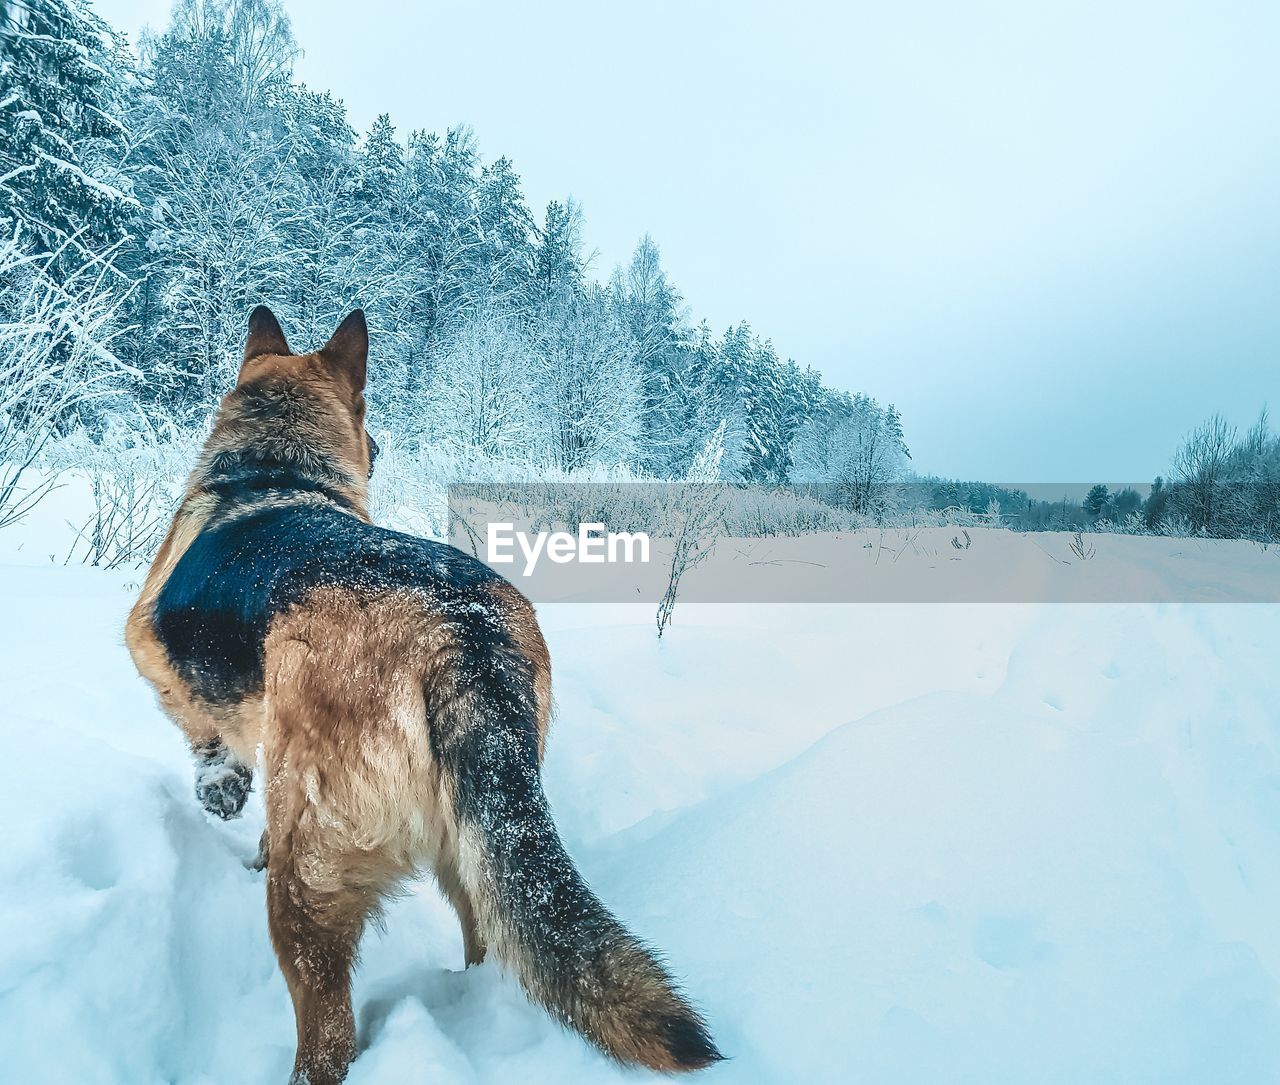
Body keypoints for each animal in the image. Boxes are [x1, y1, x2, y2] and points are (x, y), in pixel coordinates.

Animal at [127, 307, 721, 1085]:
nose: (380, 446)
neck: (274, 468)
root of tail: (457, 630)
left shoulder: (151, 653)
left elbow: (203, 733)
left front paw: (219, 787)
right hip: (475, 855)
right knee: (492, 940)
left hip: (308, 884)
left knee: (327, 1032)